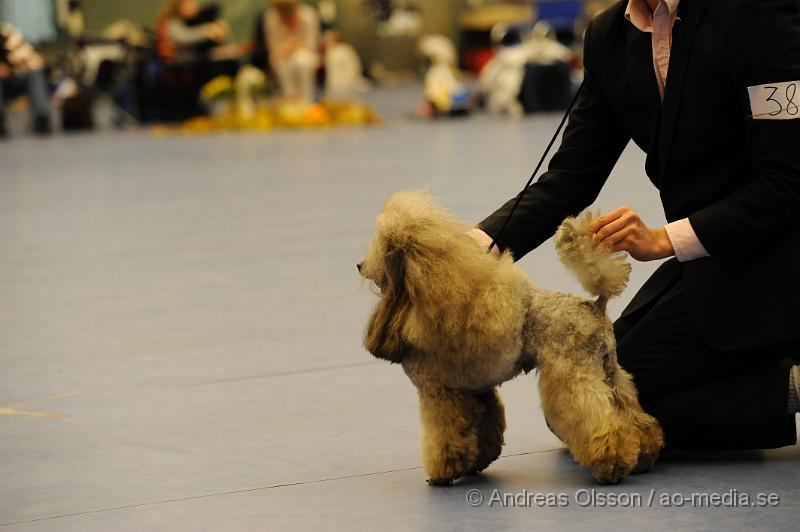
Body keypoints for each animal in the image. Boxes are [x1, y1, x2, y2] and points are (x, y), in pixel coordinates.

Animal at [360, 189, 664, 484]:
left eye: (386, 247)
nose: (359, 266)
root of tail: (595, 306)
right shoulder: (476, 390)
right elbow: (484, 428)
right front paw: (476, 465)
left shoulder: (439, 392)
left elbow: (445, 435)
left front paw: (443, 473)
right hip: (609, 370)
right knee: (636, 417)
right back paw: (645, 454)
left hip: (575, 375)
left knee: (601, 422)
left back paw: (612, 465)